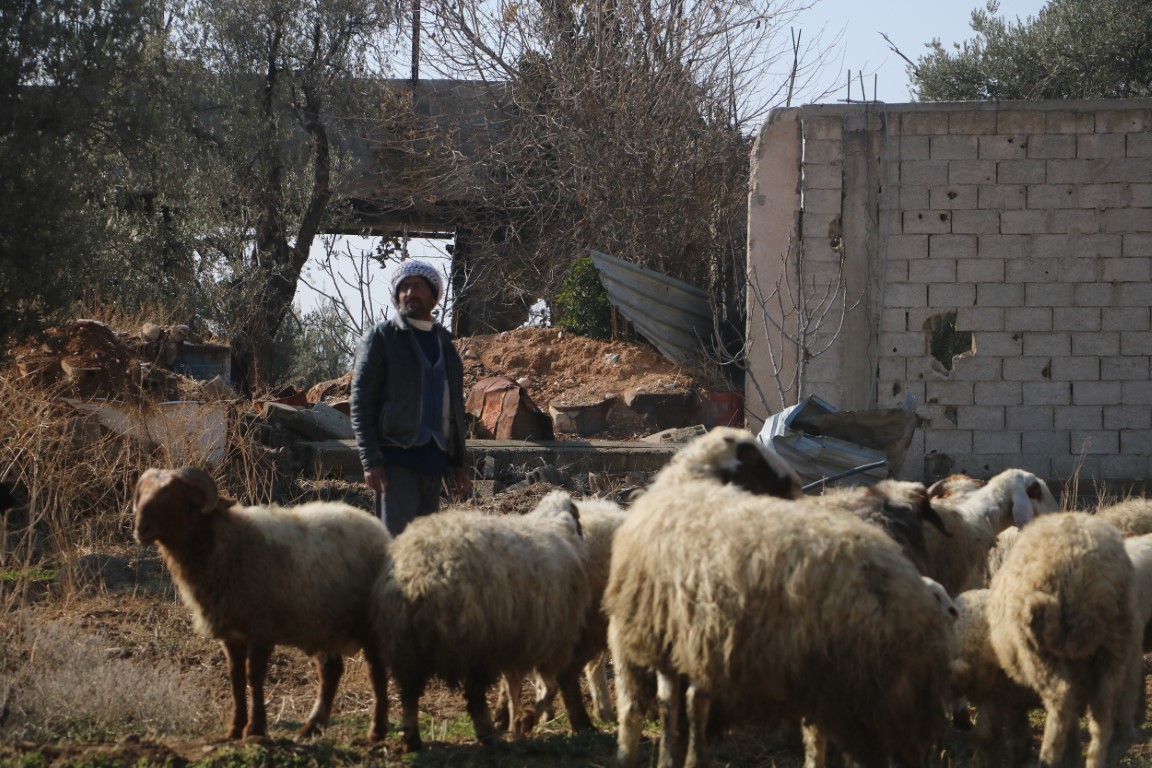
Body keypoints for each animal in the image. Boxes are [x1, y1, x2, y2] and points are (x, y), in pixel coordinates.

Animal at [133, 465, 393, 741]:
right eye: (143, 493)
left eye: (176, 497)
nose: (140, 530)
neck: (226, 543)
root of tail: (374, 525)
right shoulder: (232, 633)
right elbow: (236, 677)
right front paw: (234, 729)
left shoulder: (261, 628)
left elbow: (254, 676)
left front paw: (256, 729)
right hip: (321, 624)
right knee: (331, 670)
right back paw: (311, 727)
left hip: (368, 623)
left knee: (376, 671)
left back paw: (377, 730)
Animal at [370, 492, 594, 750]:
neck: (556, 524)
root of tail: (419, 575)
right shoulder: (553, 640)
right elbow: (549, 688)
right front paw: (524, 721)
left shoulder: (516, 642)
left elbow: (513, 687)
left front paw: (512, 719)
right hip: (473, 643)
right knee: (474, 696)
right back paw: (487, 734)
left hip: (405, 646)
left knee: (409, 695)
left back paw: (412, 738)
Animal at [608, 430, 949, 768]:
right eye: (761, 463)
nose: (798, 487)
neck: (693, 483)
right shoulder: (684, 639)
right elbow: (680, 705)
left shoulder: (685, 638)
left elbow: (683, 706)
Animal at [986, 511, 1147, 768]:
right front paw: (1072, 755)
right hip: (1115, 645)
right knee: (1102, 714)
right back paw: (1095, 760)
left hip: (1039, 651)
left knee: (1062, 700)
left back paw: (1047, 758)